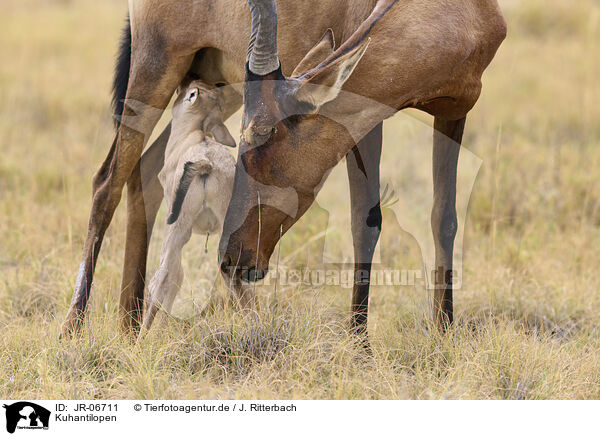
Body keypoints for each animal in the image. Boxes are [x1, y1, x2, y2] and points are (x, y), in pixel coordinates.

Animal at [139, 80, 236, 332]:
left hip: (177, 228)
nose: (184, 81)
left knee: (163, 277)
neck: (194, 138)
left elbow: (174, 274)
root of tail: (207, 162)